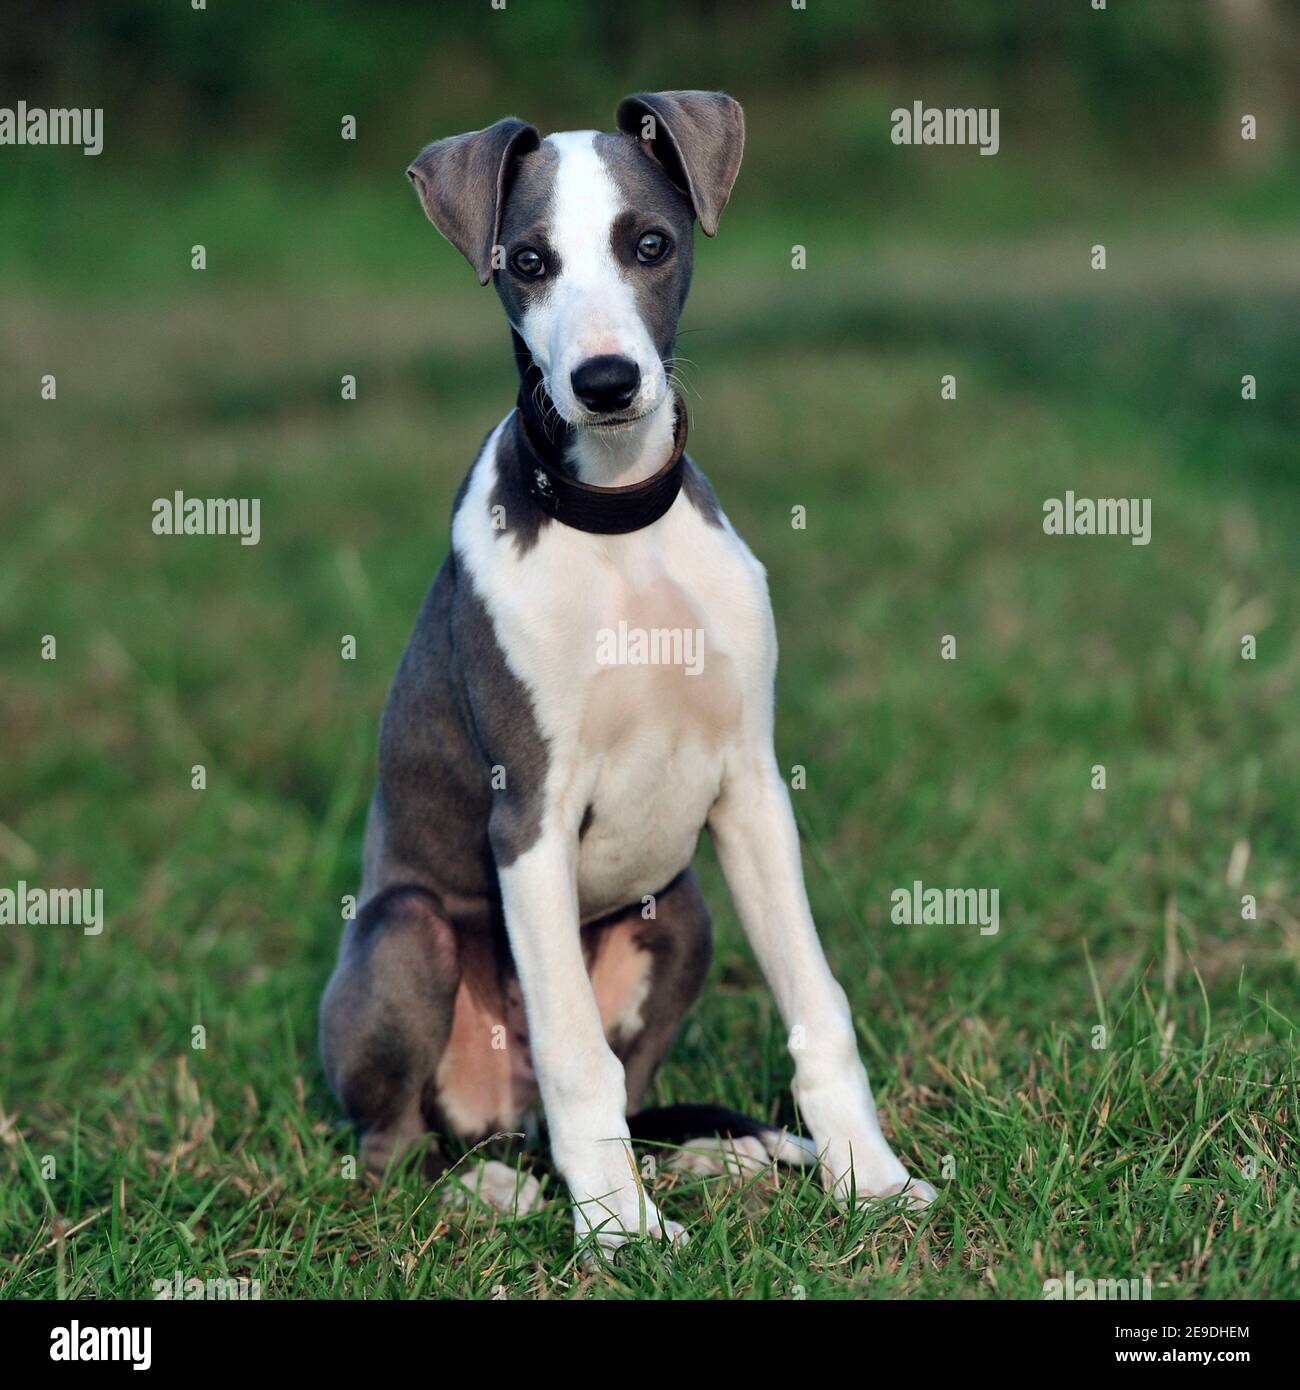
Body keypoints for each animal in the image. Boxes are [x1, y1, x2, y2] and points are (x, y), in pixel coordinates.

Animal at [322, 89, 934, 1251]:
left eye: (650, 244)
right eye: (526, 262)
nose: (604, 384)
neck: (614, 521)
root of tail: (497, 1112)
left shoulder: (751, 789)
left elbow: (817, 1001)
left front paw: (869, 1179)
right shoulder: (529, 816)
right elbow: (574, 1051)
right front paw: (618, 1231)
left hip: (681, 911)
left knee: (634, 1083)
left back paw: (708, 1158)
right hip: (405, 934)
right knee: (390, 1152)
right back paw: (499, 1188)